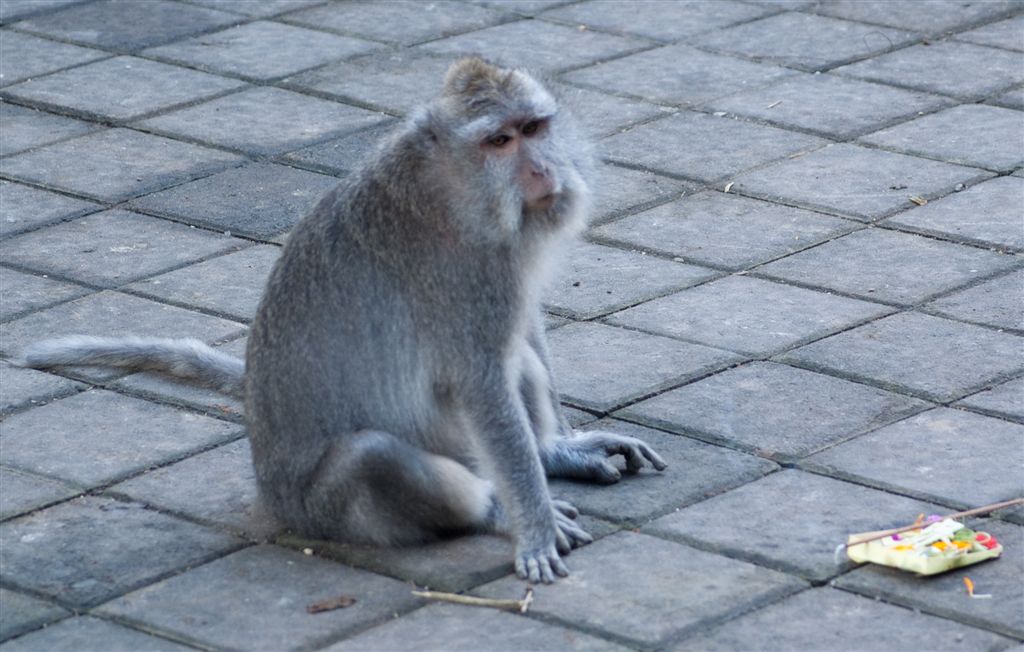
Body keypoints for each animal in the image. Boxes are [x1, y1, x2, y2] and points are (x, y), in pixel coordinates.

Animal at [17, 58, 667, 584]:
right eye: (500, 140)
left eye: (534, 129)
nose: (541, 173)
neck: (451, 185)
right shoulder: (462, 275)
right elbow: (481, 383)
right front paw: (533, 525)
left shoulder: (503, 266)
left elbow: (523, 331)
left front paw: (560, 447)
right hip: (323, 508)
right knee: (374, 458)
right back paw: (493, 510)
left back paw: (550, 458)